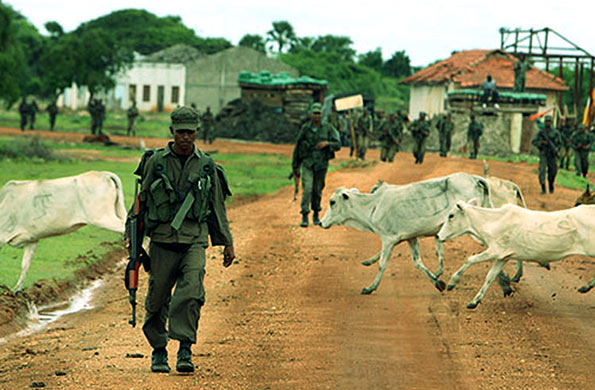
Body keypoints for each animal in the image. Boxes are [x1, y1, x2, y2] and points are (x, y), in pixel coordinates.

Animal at [322, 172, 494, 294]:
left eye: (332, 202)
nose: (321, 222)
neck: (374, 205)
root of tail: (474, 178)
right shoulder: (411, 237)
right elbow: (417, 263)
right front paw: (438, 283)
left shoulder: (388, 239)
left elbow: (382, 264)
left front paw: (370, 287)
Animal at [438, 201, 595, 308]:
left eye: (451, 215)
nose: (439, 236)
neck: (492, 222)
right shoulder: (502, 257)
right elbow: (490, 277)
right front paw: (474, 301)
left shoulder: (495, 250)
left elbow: (470, 259)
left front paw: (452, 283)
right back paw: (585, 287)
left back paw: (586, 287)